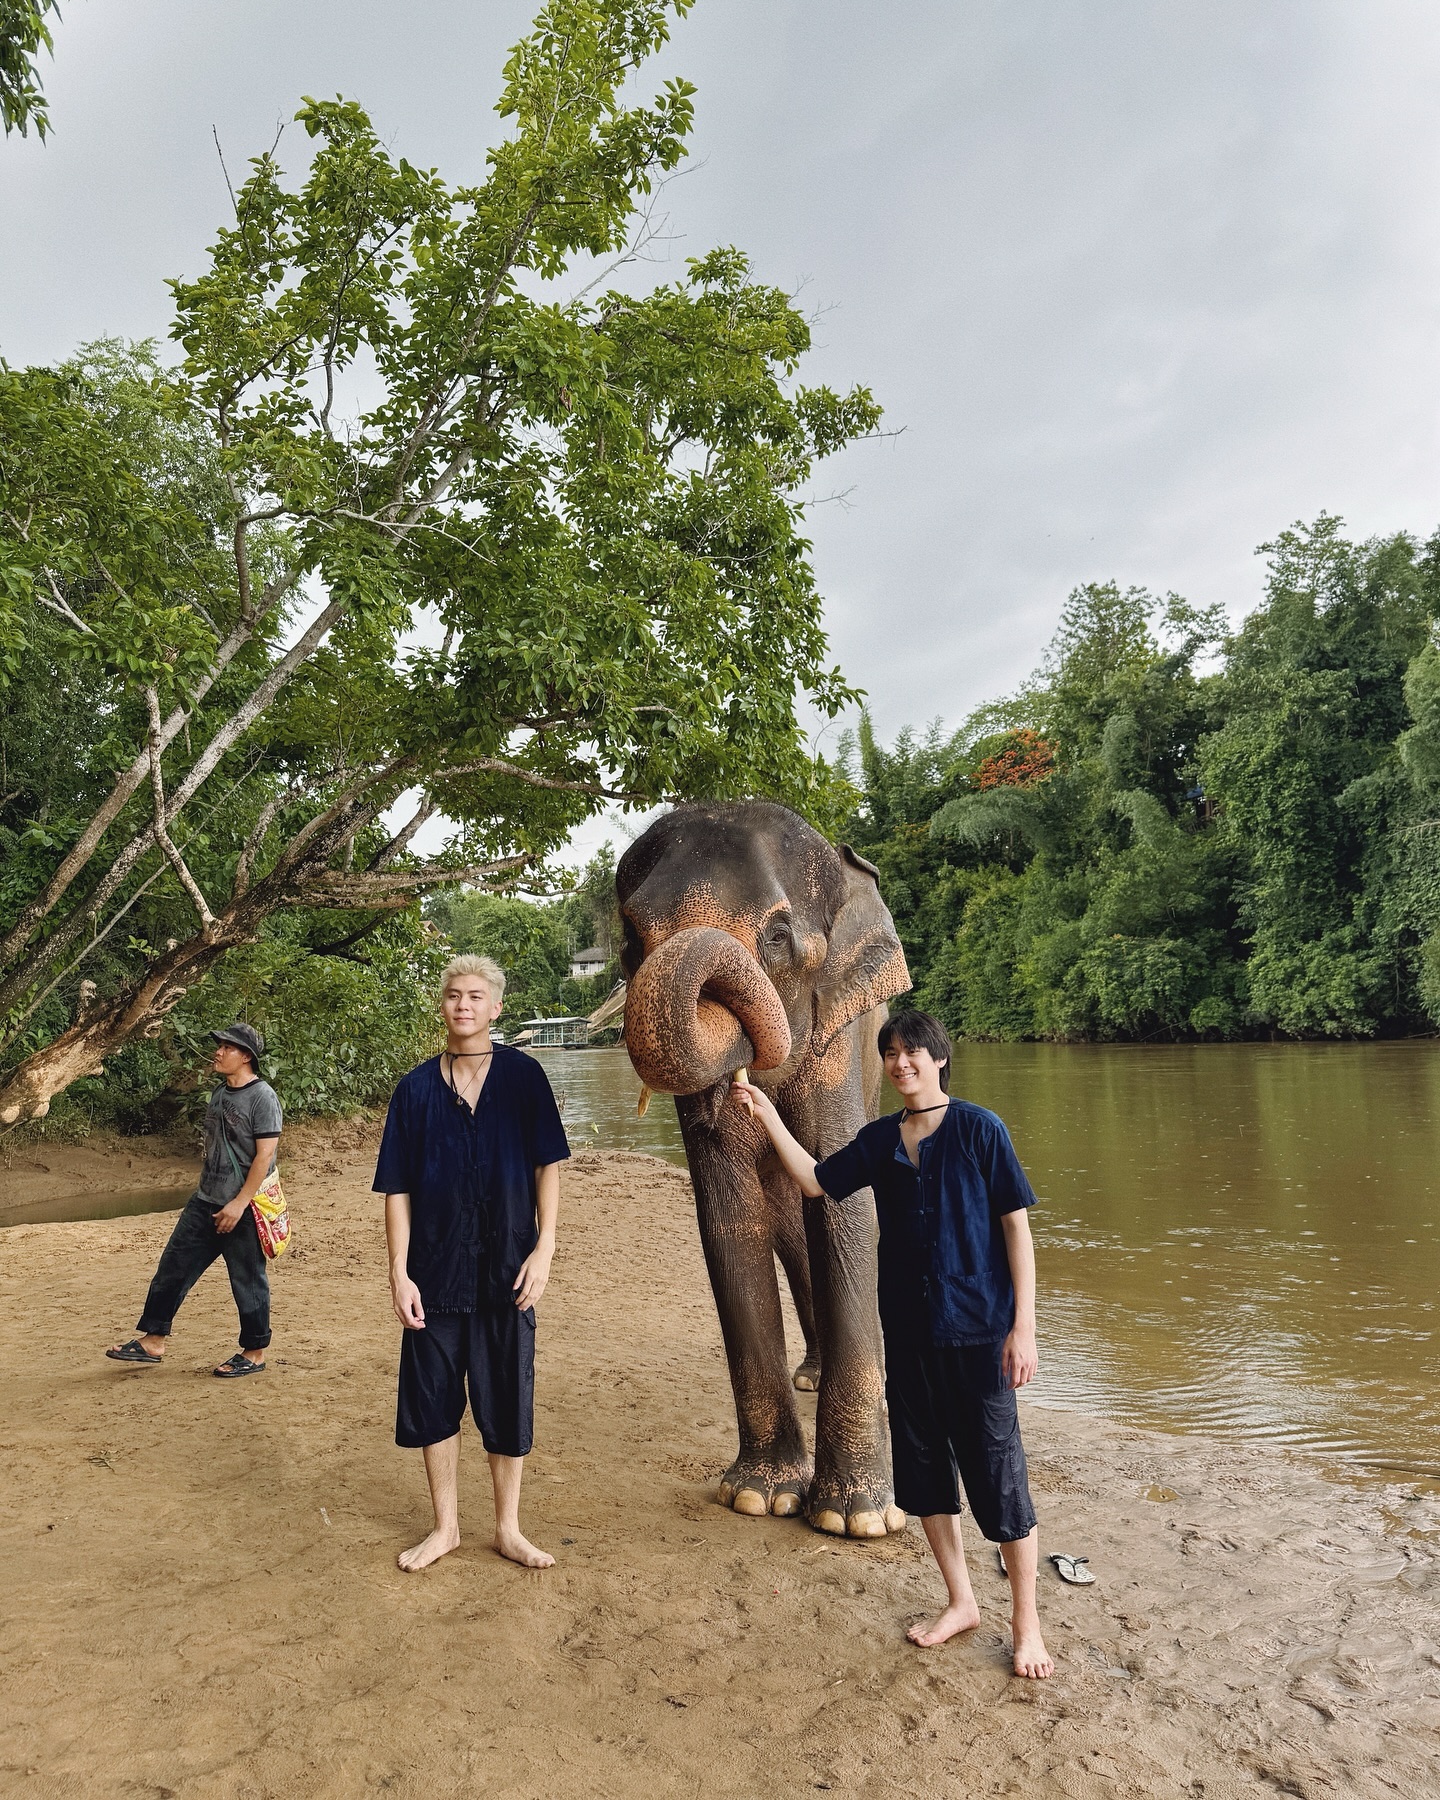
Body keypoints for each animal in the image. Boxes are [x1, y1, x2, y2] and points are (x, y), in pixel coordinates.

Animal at [619, 802, 910, 1533]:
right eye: (632, 938)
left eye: (779, 938)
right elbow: (731, 1213)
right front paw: (758, 1497)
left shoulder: (838, 1040)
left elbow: (844, 1197)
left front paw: (856, 1518)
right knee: (789, 1230)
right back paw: (810, 1377)